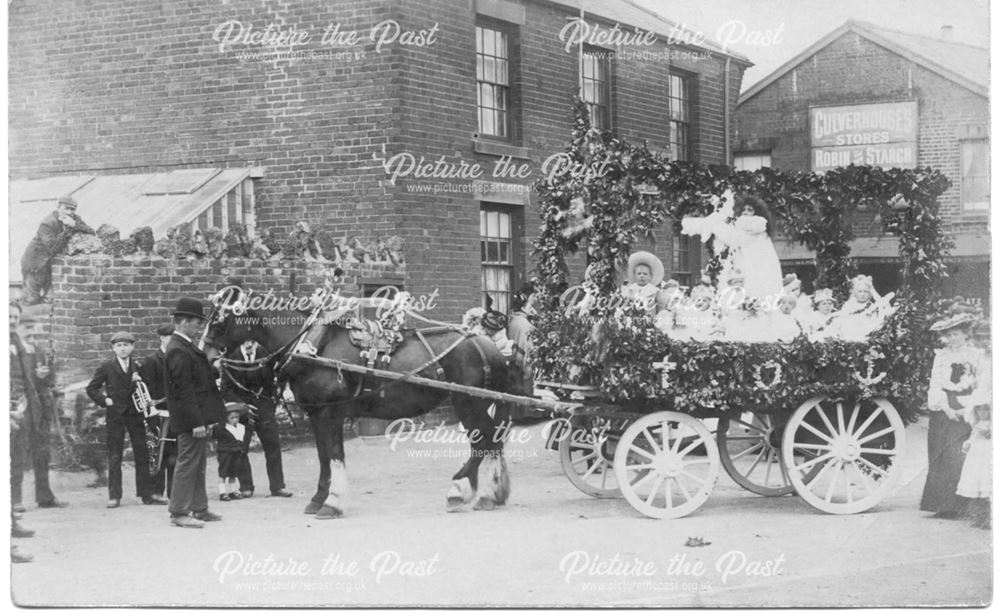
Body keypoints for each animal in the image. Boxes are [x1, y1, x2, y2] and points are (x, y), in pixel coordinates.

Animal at [203, 290, 516, 520]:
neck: (313, 346)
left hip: (470, 402)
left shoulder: (329, 412)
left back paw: (464, 491)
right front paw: (319, 499)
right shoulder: (318, 413)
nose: (206, 357)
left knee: (484, 441)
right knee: (490, 441)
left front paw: (332, 502)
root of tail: (489, 346)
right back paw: (491, 492)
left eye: (219, 320)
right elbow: (325, 456)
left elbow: (333, 455)